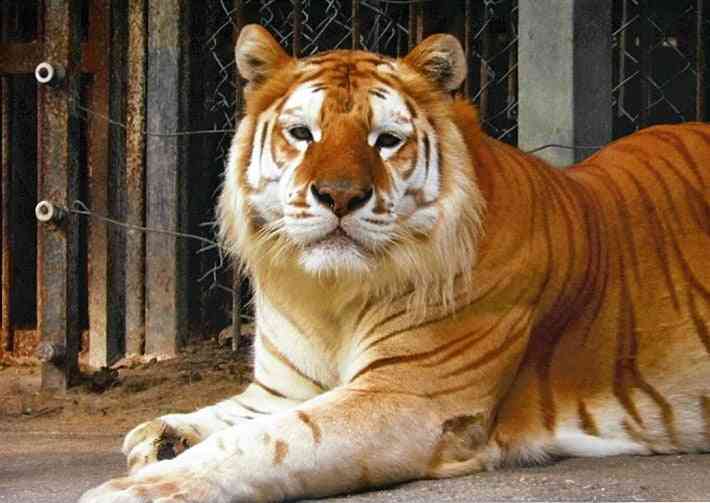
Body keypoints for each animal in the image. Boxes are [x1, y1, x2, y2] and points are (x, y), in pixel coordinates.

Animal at [80, 24, 710, 503]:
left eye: (385, 140)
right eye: (302, 134)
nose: (339, 196)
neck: (327, 295)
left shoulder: (407, 397)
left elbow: (269, 441)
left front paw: (140, 487)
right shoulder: (281, 390)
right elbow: (229, 417)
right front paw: (162, 435)